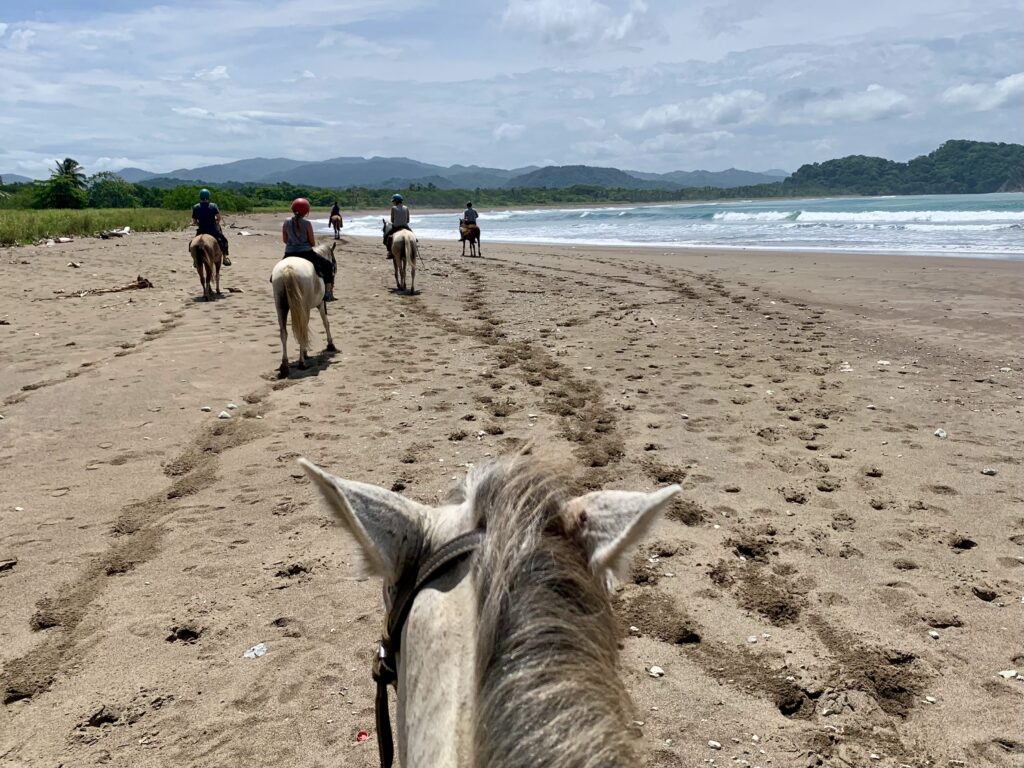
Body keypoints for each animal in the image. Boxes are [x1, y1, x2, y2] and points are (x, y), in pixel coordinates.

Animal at [270, 242, 337, 378]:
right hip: (302, 306)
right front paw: (330, 344)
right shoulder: (321, 304)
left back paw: (284, 366)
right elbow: (326, 323)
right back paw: (302, 363)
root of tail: (288, 268)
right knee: (301, 329)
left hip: (281, 306)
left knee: (284, 332)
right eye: (333, 268)